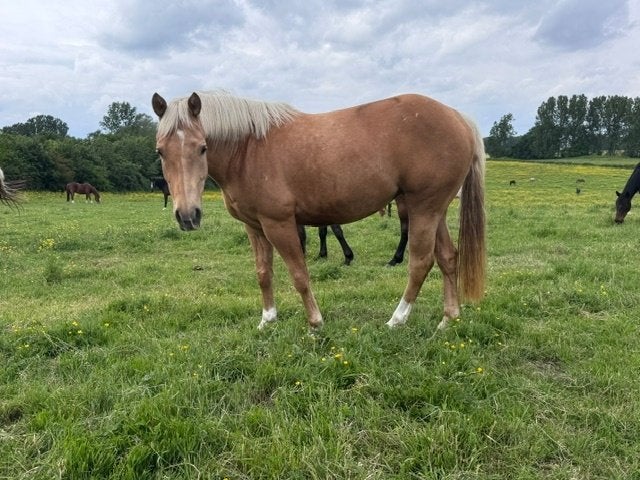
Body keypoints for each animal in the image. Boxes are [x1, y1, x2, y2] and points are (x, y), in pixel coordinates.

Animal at [152, 90, 486, 331]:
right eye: (160, 151)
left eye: (202, 147)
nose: (187, 216)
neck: (248, 149)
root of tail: (458, 118)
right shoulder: (254, 226)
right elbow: (263, 273)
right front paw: (267, 320)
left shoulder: (279, 224)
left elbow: (299, 274)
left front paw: (315, 323)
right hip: (433, 210)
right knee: (447, 258)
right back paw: (448, 319)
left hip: (423, 209)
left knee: (420, 263)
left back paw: (397, 319)